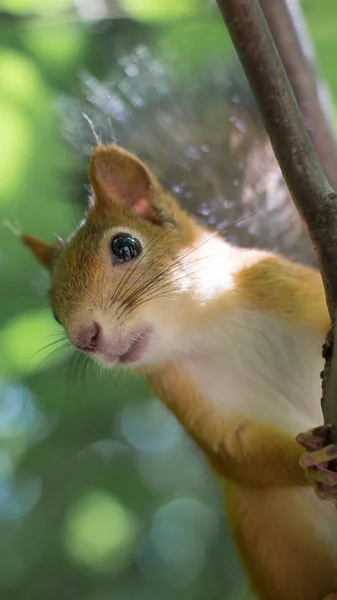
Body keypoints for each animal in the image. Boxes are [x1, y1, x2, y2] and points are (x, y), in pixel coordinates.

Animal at [21, 144, 336, 600]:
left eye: (125, 246)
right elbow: (237, 453)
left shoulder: (286, 283)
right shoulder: (178, 390)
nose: (84, 338)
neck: (208, 324)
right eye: (53, 311)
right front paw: (310, 462)